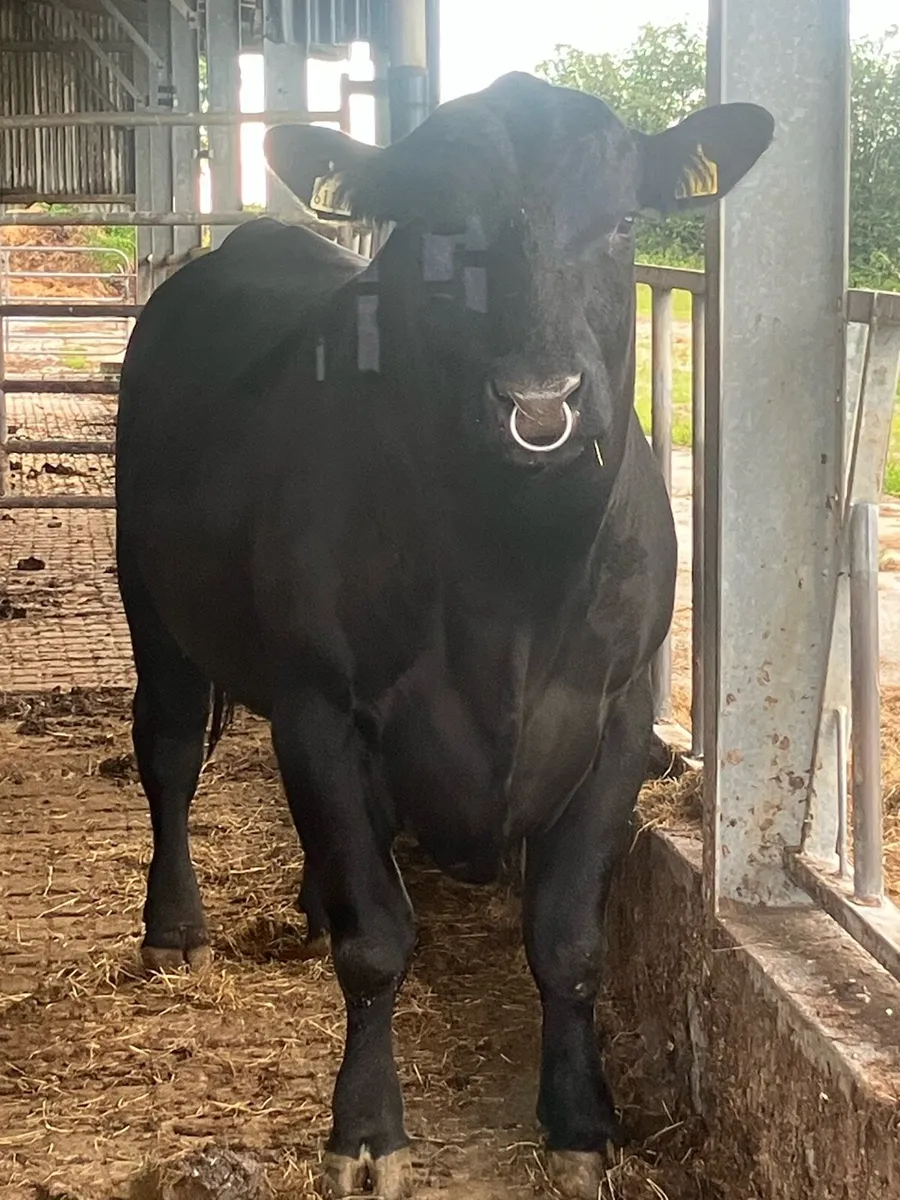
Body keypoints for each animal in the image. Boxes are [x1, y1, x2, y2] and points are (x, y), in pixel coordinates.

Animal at [115, 72, 773, 1199]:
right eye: (435, 230)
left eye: (624, 221)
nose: (540, 405)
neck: (509, 585)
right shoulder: (319, 707)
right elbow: (378, 943)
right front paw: (366, 1132)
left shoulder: (617, 719)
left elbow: (569, 940)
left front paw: (581, 1125)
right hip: (148, 596)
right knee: (165, 751)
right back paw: (176, 930)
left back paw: (306, 903)